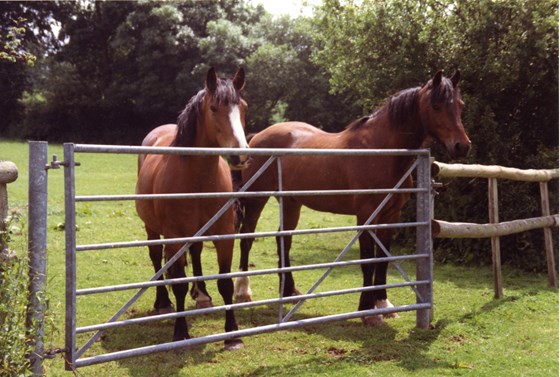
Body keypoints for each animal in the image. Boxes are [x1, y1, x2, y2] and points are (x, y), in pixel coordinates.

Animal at [136, 67, 247, 346]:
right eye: (214, 108)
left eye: (243, 107)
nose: (240, 155)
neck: (198, 179)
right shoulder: (175, 237)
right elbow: (178, 284)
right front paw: (180, 331)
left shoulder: (225, 235)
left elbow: (225, 283)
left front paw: (233, 334)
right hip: (152, 229)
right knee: (156, 259)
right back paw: (163, 302)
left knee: (195, 253)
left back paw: (202, 294)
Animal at [234, 71, 470, 326]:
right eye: (436, 105)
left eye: (460, 105)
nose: (462, 146)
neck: (380, 150)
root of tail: (257, 137)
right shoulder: (366, 216)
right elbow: (367, 260)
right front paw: (368, 311)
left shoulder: (391, 216)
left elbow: (382, 259)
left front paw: (383, 304)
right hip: (256, 199)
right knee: (247, 238)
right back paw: (243, 291)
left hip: (290, 202)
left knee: (283, 239)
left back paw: (289, 291)